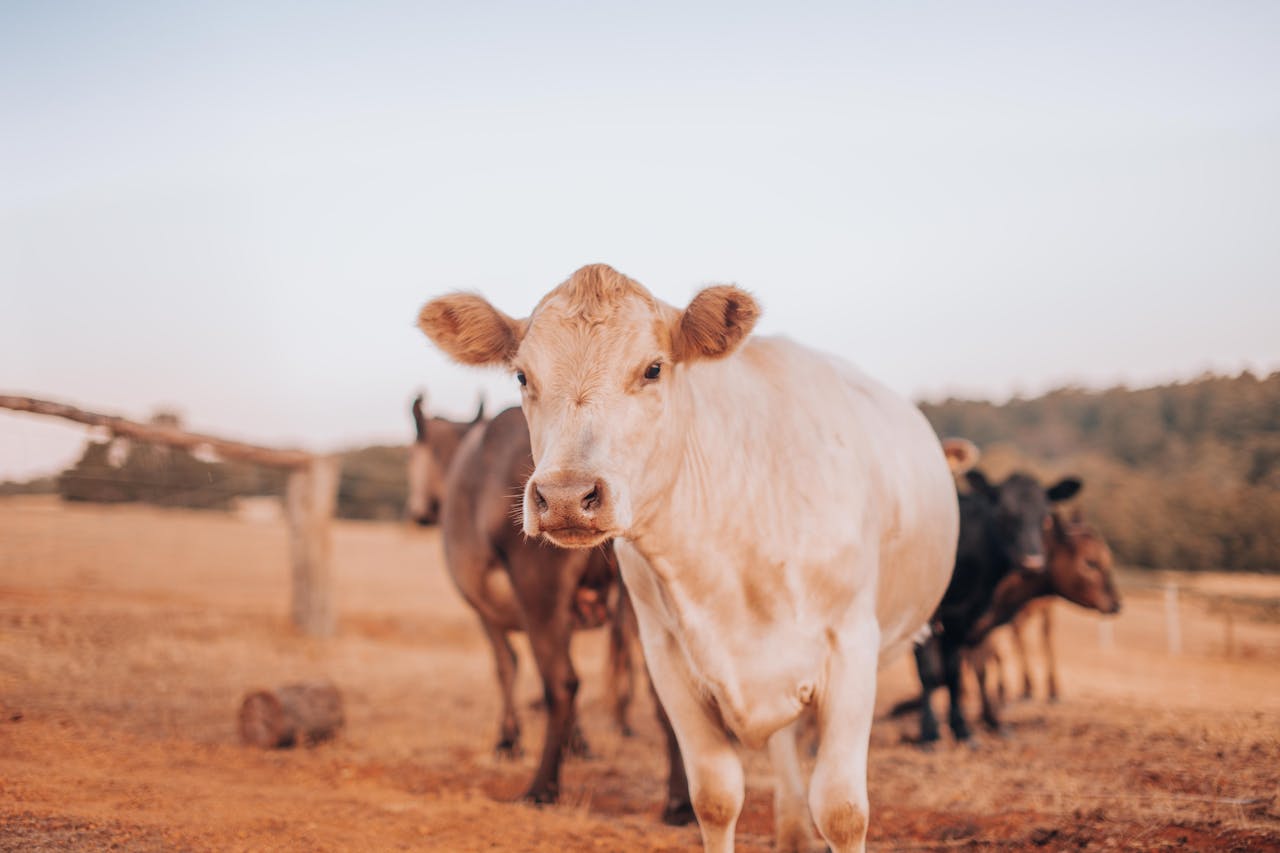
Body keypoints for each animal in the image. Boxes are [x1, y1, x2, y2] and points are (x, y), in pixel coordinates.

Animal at [436, 403, 693, 821]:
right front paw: (578, 743)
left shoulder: (487, 612)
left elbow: (505, 666)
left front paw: (509, 741)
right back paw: (678, 802)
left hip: (539, 585)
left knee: (561, 683)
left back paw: (542, 787)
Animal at [911, 468, 1082, 745]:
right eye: (1004, 514)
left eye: (1045, 516)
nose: (1032, 562)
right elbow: (929, 672)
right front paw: (930, 733)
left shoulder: (963, 615)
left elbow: (953, 671)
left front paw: (962, 729)